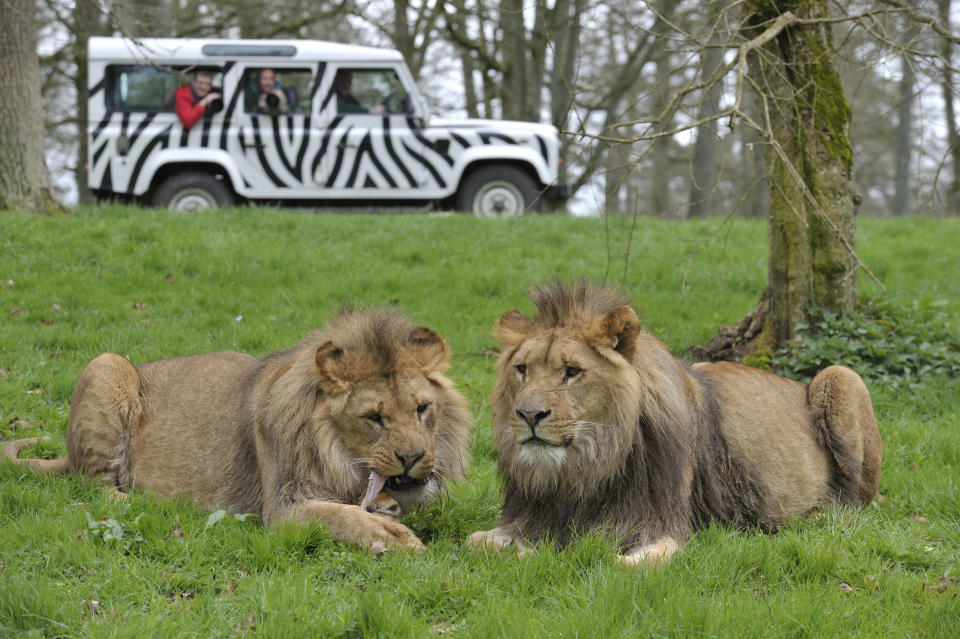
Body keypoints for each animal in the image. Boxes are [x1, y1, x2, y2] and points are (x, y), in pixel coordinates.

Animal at [6, 310, 472, 556]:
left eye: (422, 409)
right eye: (374, 418)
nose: (413, 458)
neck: (341, 456)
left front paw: (389, 512)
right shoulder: (282, 509)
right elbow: (341, 517)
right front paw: (393, 537)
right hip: (107, 364)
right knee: (96, 486)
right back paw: (142, 499)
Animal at [468, 282, 880, 568]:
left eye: (572, 371)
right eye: (522, 369)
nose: (528, 415)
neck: (583, 471)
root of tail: (794, 382)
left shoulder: (666, 529)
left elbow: (609, 561)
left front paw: (543, 555)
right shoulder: (526, 517)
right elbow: (476, 542)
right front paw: (527, 551)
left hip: (841, 377)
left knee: (854, 504)